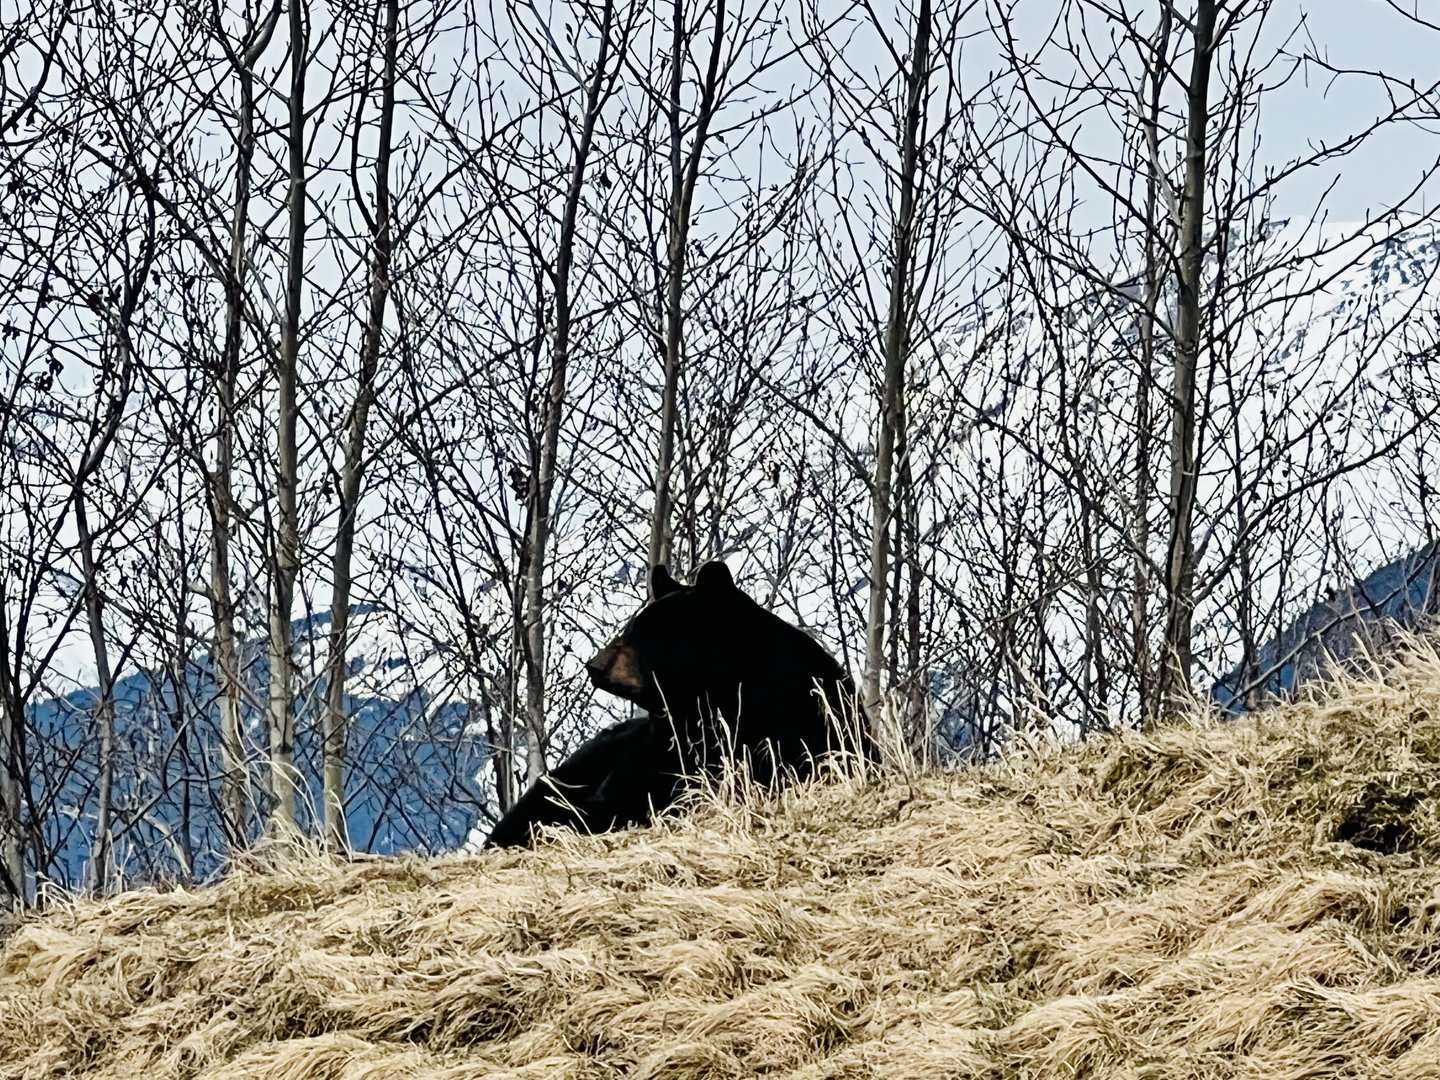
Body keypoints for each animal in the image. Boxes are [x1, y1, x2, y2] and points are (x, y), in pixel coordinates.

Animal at [485, 560, 874, 848]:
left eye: (642, 634)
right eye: (631, 627)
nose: (594, 665)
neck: (709, 697)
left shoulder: (794, 721)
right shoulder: (664, 740)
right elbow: (619, 792)